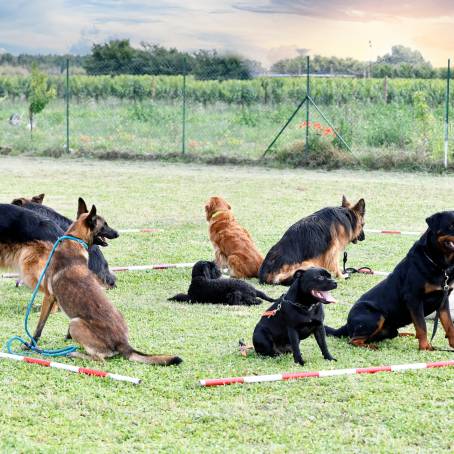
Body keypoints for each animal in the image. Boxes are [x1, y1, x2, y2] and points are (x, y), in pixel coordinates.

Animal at [29, 199, 183, 366]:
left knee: (100, 359)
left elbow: (39, 327)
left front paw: (30, 345)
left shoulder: (49, 297)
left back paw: (76, 353)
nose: (117, 233)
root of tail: (124, 344)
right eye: (105, 225)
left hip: (75, 323)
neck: (74, 240)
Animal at [324, 211, 454, 352]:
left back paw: (406, 334)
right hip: (375, 315)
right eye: (451, 225)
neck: (438, 264)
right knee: (353, 340)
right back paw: (371, 346)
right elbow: (422, 326)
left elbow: (449, 325)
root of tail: (347, 324)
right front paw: (425, 347)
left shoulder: (443, 300)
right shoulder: (414, 298)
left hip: (389, 329)